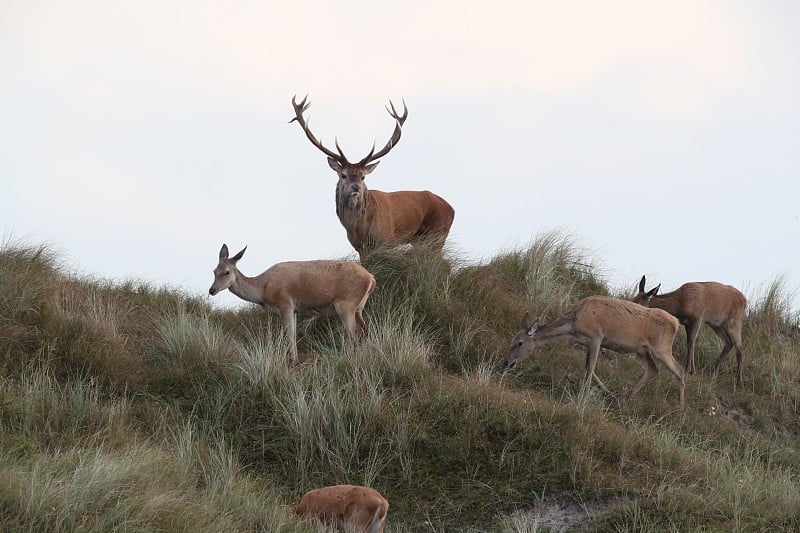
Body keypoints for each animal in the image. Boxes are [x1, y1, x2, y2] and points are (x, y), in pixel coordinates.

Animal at [211, 243, 376, 360]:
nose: (212, 290)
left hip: (346, 304)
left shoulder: (286, 304)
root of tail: (371, 279)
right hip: (359, 307)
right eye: (214, 271)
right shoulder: (295, 310)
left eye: (226, 272)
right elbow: (294, 334)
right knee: (365, 328)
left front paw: (293, 360)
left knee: (352, 333)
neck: (263, 291)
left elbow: (289, 335)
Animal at [290, 95, 454, 258]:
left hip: (437, 234)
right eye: (343, 175)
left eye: (363, 177)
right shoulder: (360, 248)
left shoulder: (386, 240)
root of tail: (452, 209)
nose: (356, 187)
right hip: (421, 240)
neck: (359, 229)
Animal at [510, 296, 684, 404]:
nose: (507, 362)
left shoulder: (596, 337)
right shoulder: (587, 342)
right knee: (653, 369)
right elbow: (590, 367)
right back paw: (626, 398)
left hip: (662, 348)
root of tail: (676, 323)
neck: (574, 324)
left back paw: (681, 410)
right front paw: (607, 392)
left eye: (519, 343)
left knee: (680, 371)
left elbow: (590, 367)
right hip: (641, 350)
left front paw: (584, 394)